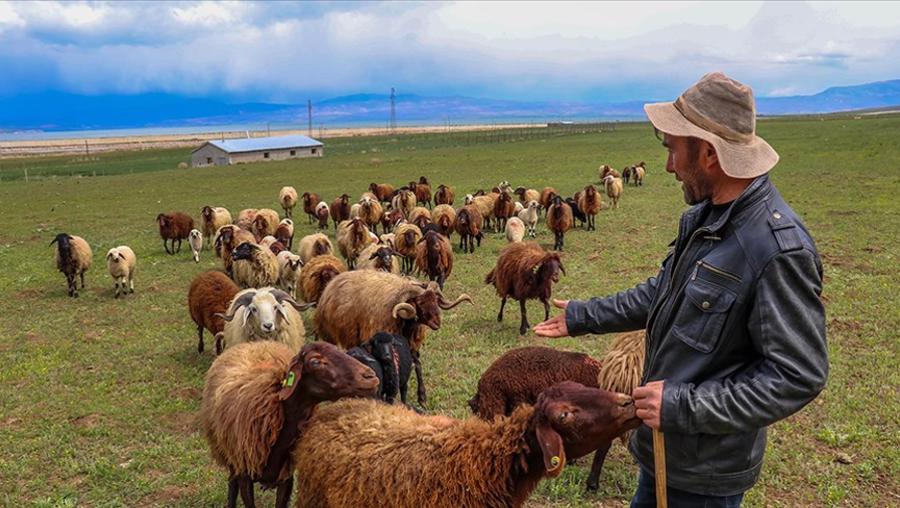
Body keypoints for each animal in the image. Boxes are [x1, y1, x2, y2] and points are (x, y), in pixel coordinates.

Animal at [200, 340, 376, 508]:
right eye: (315, 361)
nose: (371, 376)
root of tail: (252, 343)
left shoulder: (287, 476)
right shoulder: (244, 475)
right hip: (227, 453)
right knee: (231, 484)